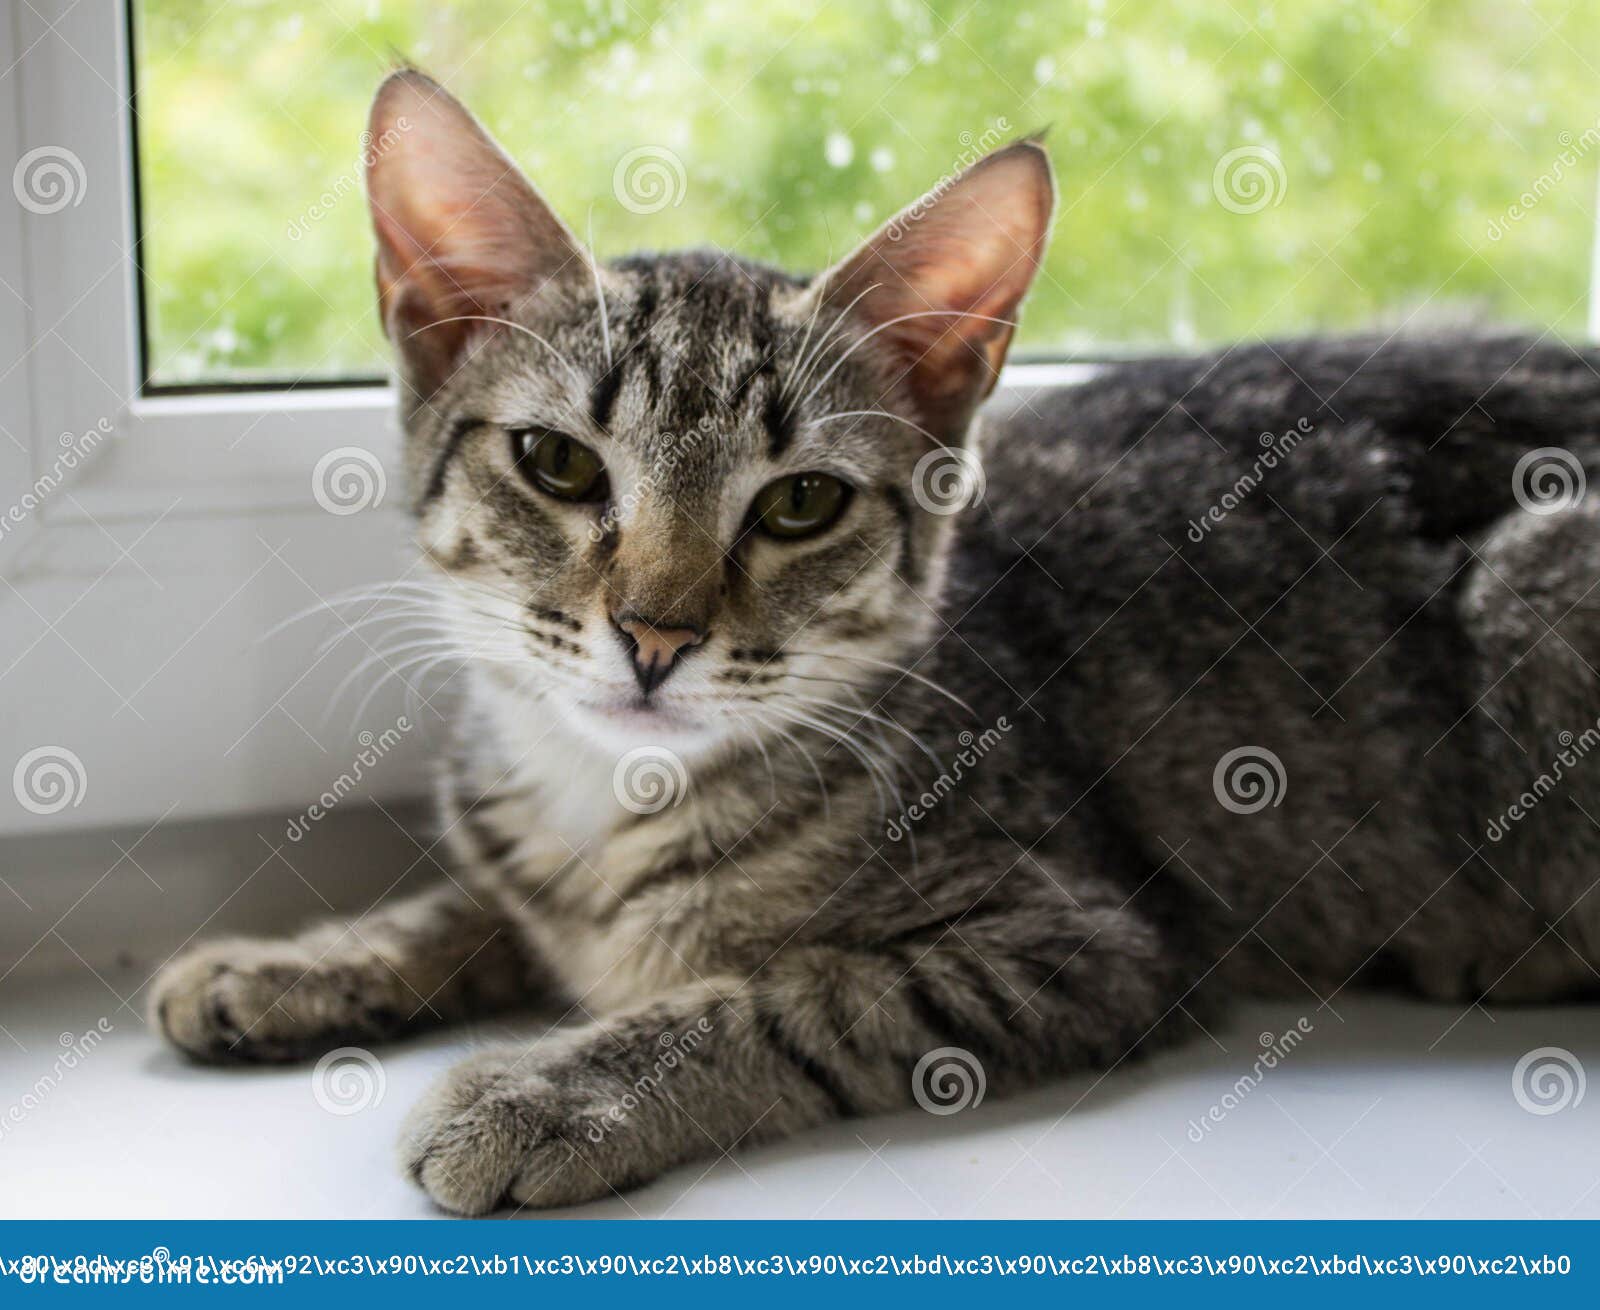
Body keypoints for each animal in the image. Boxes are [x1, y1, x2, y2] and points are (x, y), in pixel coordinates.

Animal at [152, 69, 1600, 1222]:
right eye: (556, 464)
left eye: (802, 502)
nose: (656, 630)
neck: (607, 801)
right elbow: (483, 904)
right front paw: (296, 961)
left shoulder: (1084, 939)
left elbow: (782, 996)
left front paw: (551, 1087)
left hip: (1538, 576)